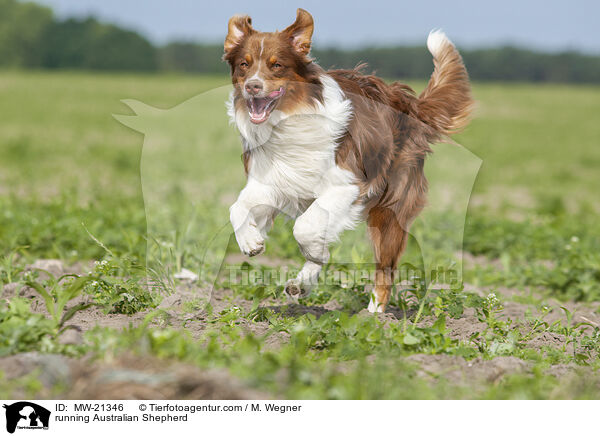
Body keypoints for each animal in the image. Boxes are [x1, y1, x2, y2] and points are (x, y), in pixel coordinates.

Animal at [225, 8, 474, 312]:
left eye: (277, 66)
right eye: (244, 64)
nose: (252, 87)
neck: (288, 120)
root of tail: (408, 103)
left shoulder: (348, 185)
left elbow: (304, 227)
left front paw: (314, 251)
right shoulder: (271, 181)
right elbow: (237, 208)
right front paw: (251, 240)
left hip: (389, 208)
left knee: (385, 268)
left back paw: (374, 312)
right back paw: (303, 282)